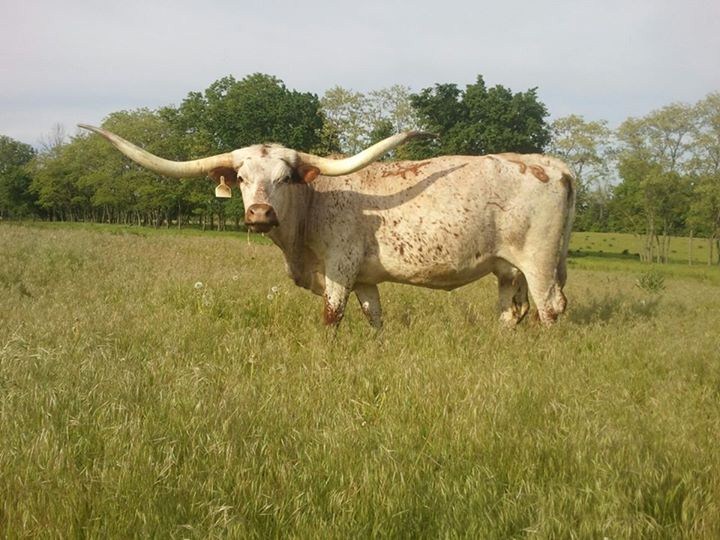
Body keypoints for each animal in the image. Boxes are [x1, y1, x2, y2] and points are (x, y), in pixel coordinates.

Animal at [79, 124, 575, 328]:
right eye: (241, 179)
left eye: (284, 178)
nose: (260, 214)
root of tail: (554, 166)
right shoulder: (366, 278)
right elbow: (374, 318)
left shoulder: (340, 266)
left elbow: (331, 316)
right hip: (508, 268)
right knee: (512, 309)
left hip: (539, 260)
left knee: (550, 308)